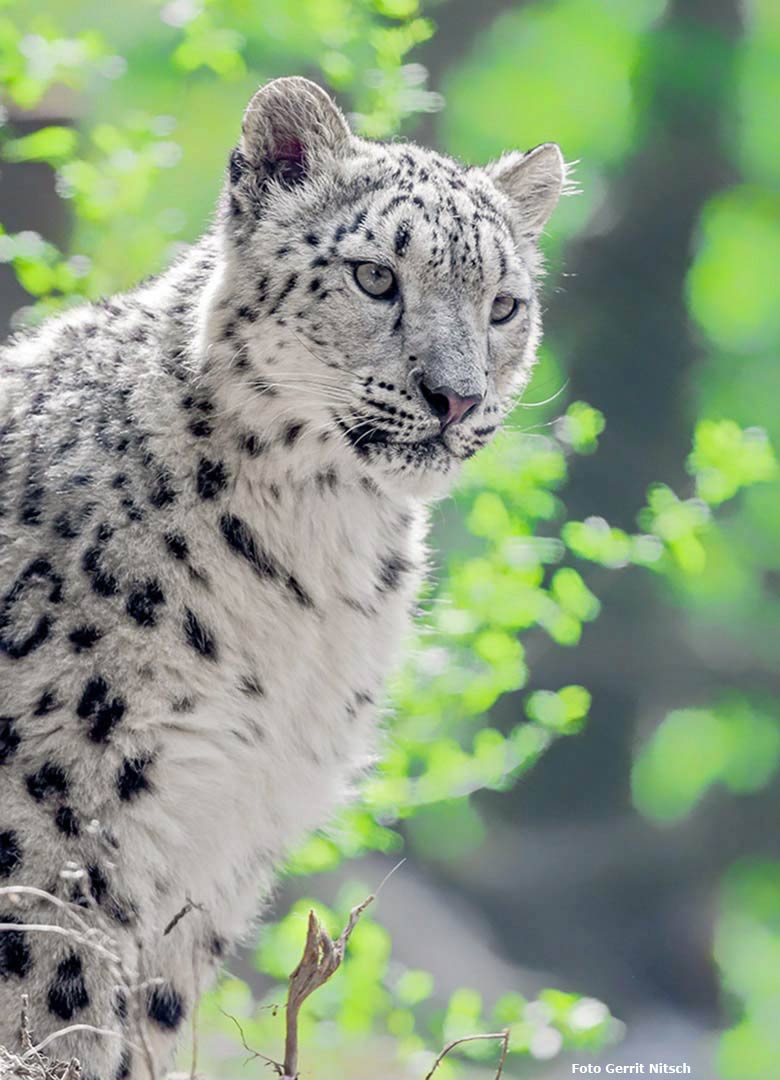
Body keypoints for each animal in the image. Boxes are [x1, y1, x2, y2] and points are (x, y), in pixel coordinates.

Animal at [0, 78, 557, 1080]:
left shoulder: (221, 832)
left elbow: (150, 1016)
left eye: (503, 305)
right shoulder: (56, 812)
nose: (456, 396)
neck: (316, 560)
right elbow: (54, 999)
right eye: (375, 276)